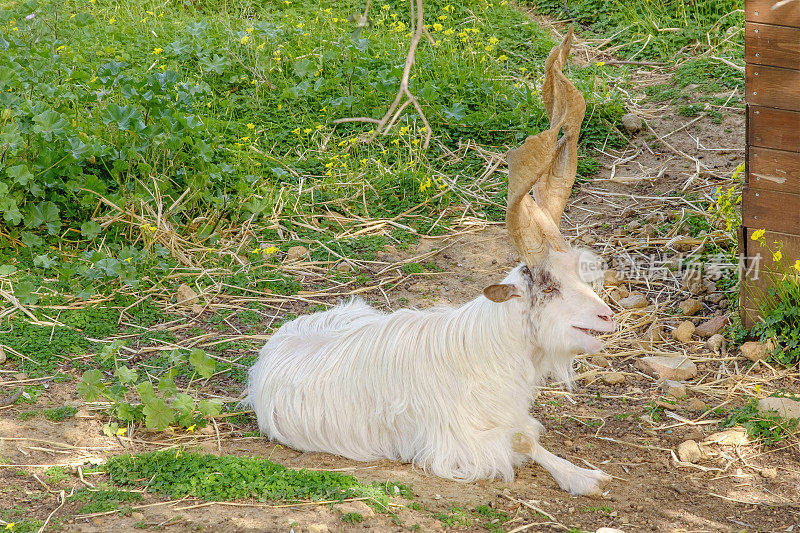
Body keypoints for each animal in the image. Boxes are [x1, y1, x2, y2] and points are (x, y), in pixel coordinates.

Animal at [247, 33, 616, 496]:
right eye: (548, 287)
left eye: (581, 276)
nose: (606, 318)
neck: (489, 349)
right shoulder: (459, 445)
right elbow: (522, 441)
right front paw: (584, 478)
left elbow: (528, 435)